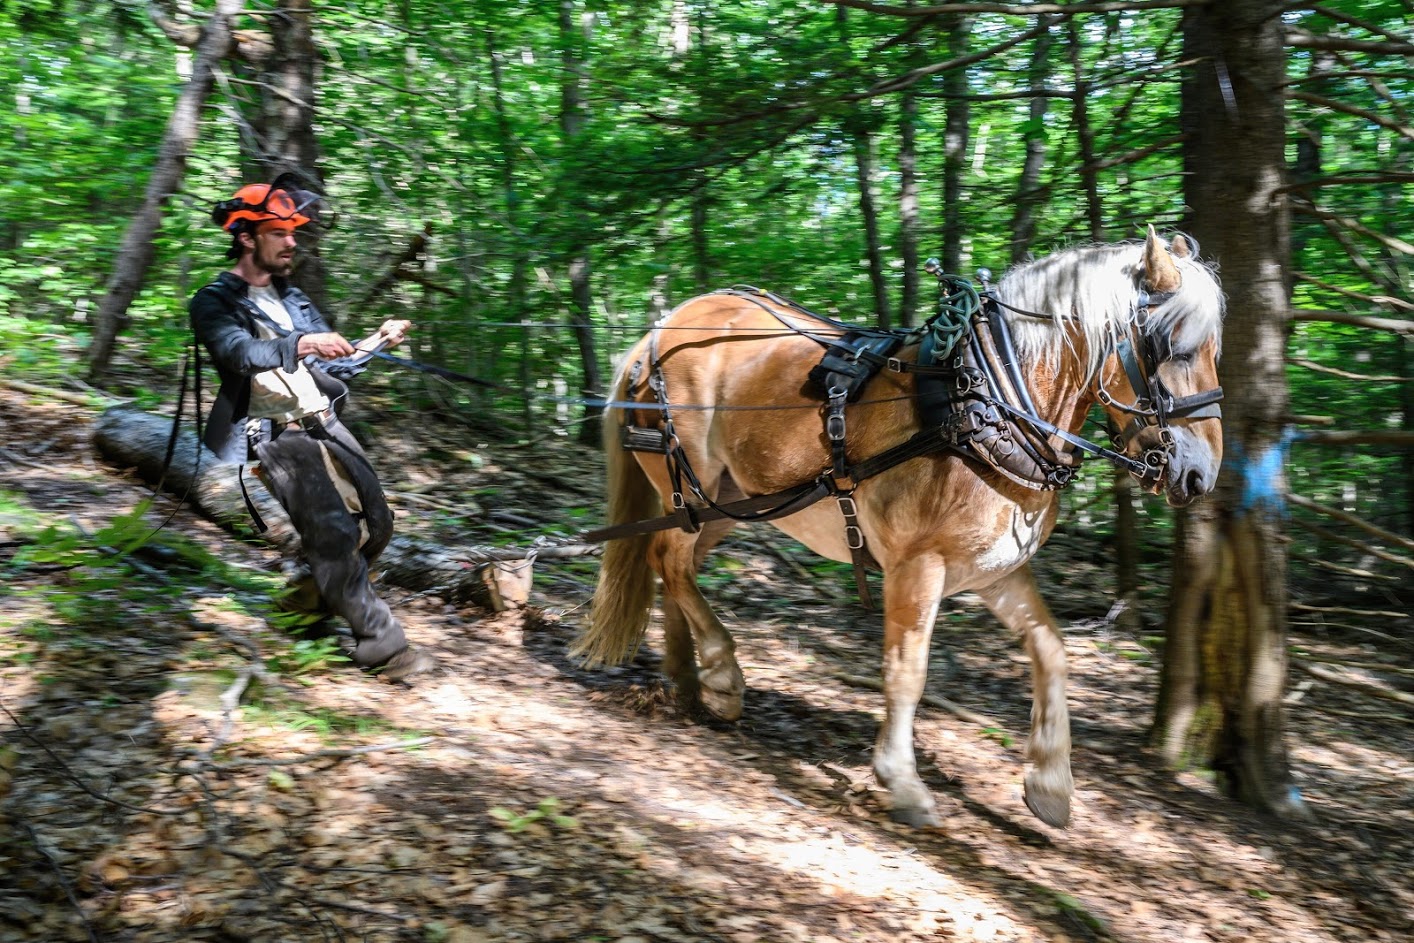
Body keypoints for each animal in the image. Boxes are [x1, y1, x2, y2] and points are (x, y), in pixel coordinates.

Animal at [568, 231, 1221, 831]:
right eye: (1175, 348)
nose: (1201, 475)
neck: (983, 402)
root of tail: (660, 330)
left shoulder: (996, 571)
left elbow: (1051, 651)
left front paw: (1050, 784)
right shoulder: (916, 565)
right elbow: (907, 672)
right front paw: (902, 780)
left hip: (728, 503)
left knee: (673, 566)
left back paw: (685, 675)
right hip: (691, 488)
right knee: (668, 560)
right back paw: (721, 674)